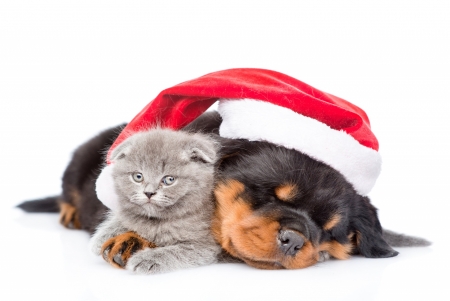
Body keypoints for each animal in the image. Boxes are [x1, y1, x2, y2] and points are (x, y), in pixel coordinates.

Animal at [88, 127, 221, 274]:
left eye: (169, 180)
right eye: (138, 177)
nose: (149, 193)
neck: (157, 222)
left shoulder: (206, 245)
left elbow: (175, 252)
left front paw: (147, 259)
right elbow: (127, 218)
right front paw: (103, 235)